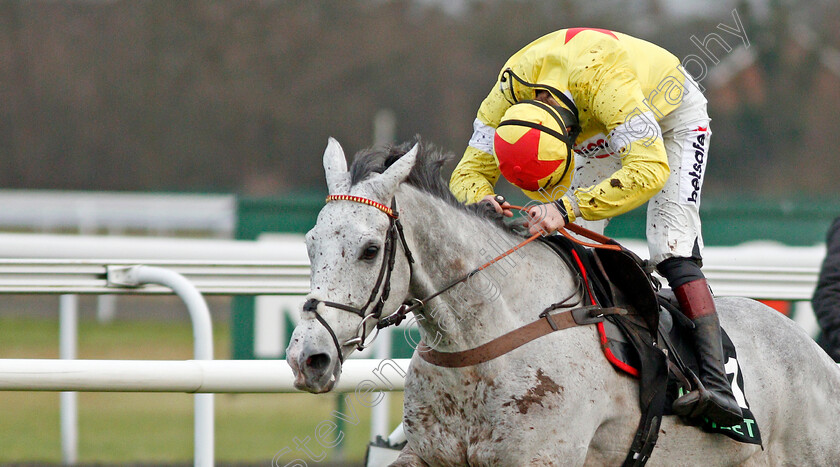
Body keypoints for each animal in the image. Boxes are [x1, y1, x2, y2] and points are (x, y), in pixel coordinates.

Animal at [288, 140, 840, 467]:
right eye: (311, 242)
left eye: (369, 249)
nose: (307, 357)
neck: (484, 337)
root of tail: (820, 360)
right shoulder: (431, 455)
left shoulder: (543, 457)